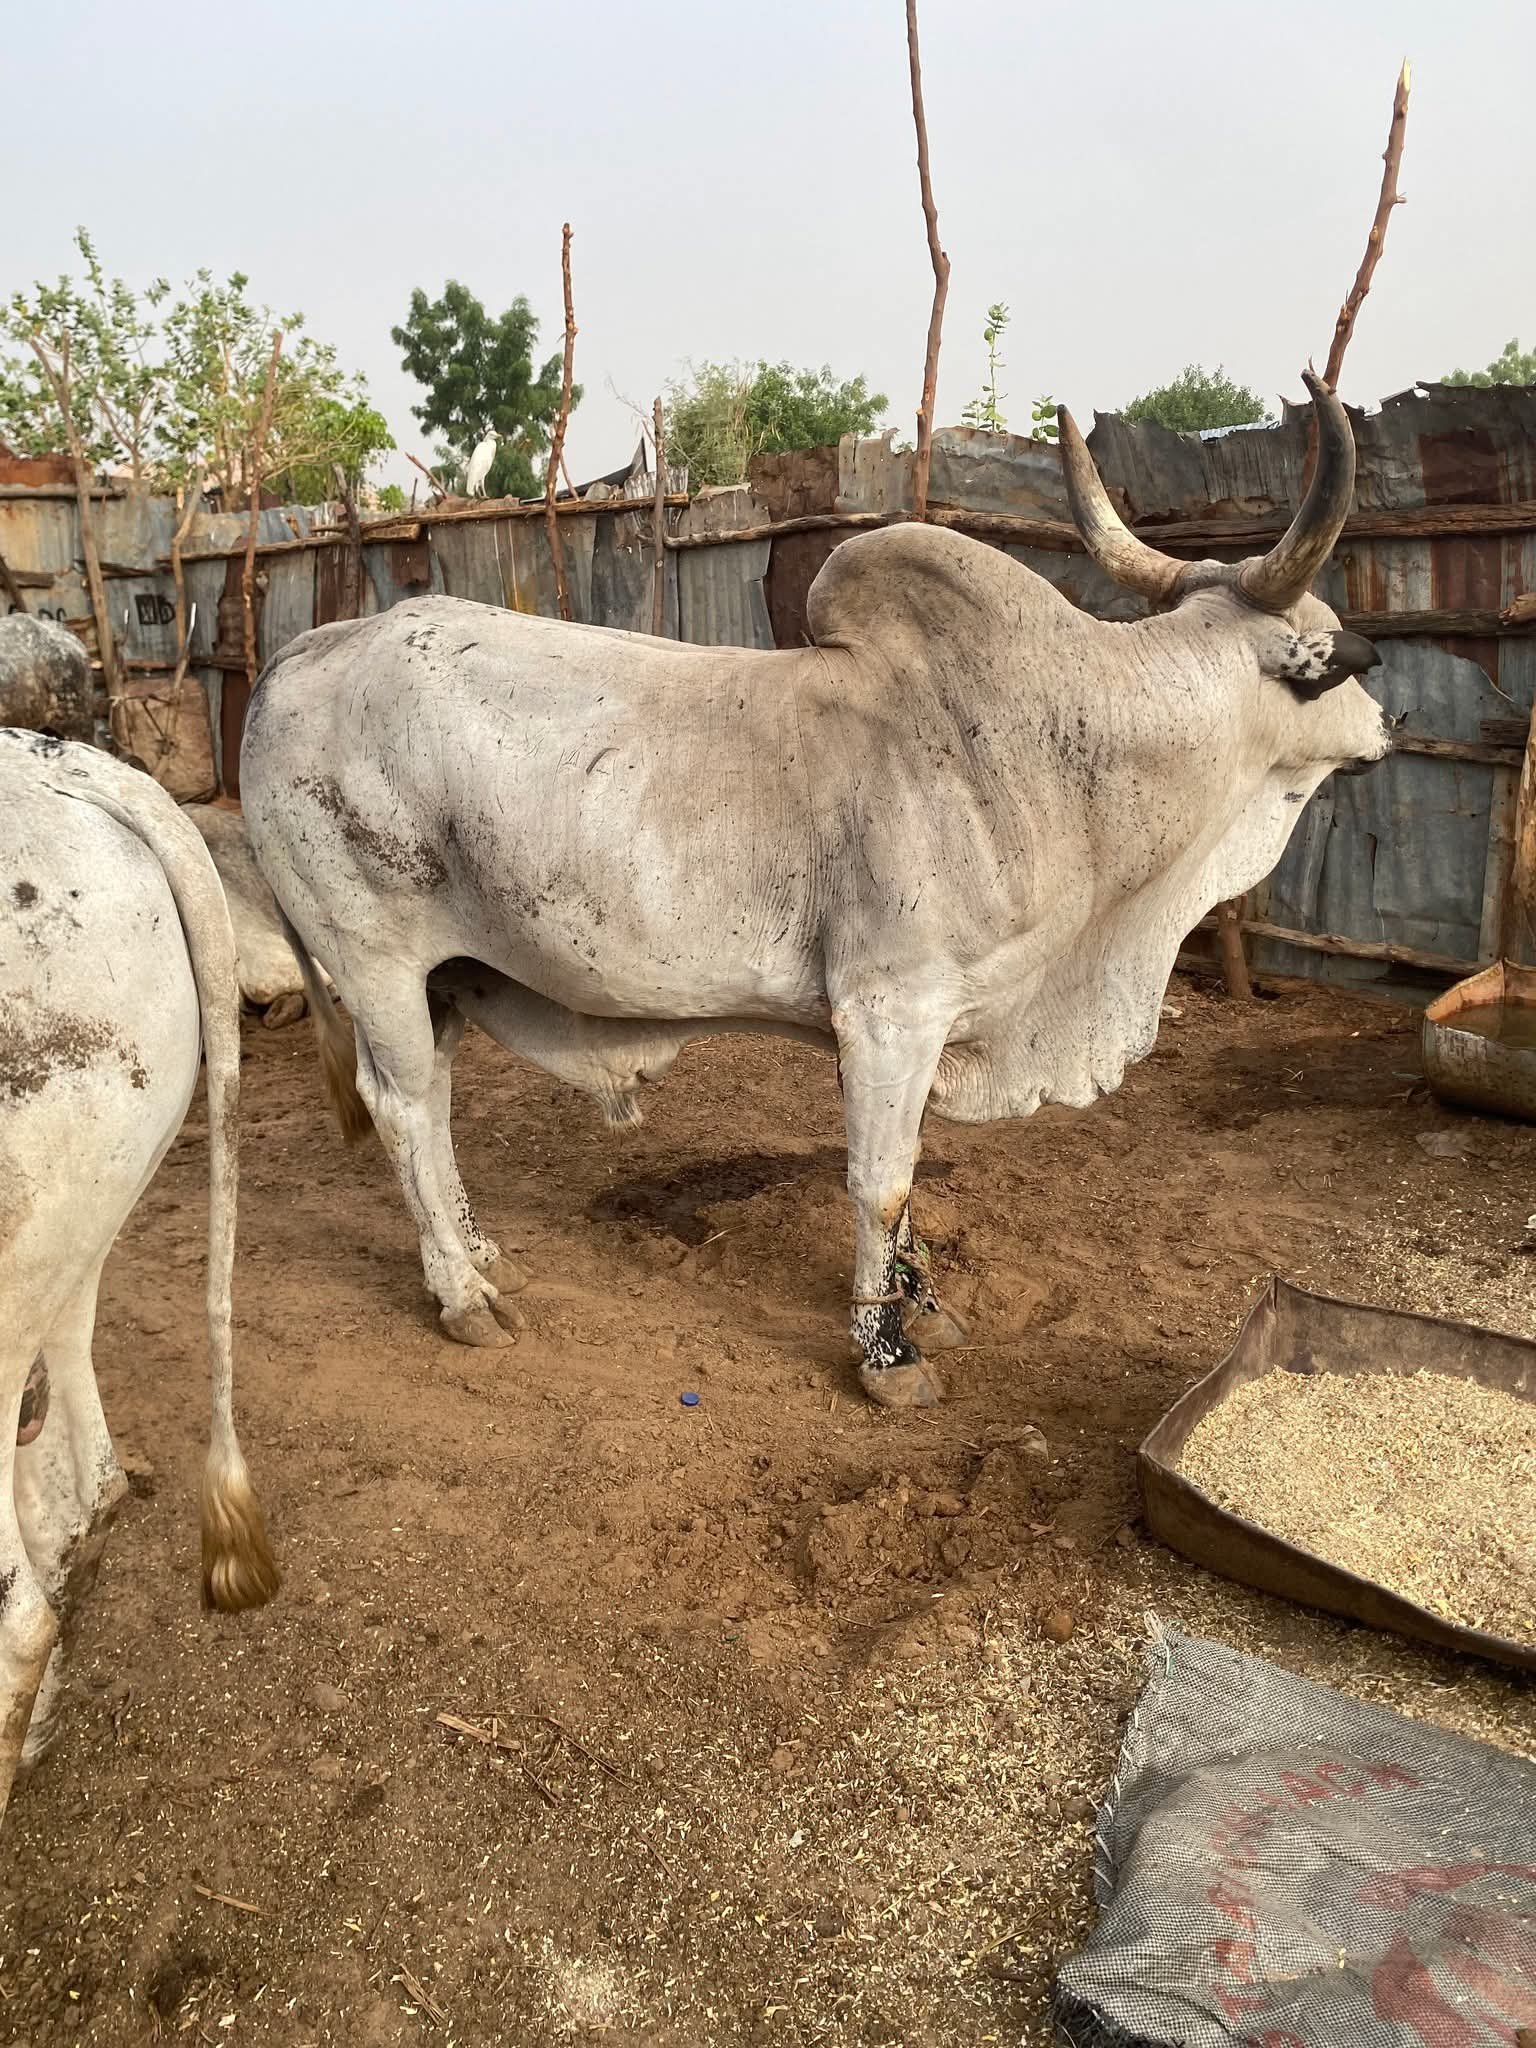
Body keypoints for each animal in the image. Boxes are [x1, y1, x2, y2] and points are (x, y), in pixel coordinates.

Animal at [239, 372, 1389, 1409]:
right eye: (1339, 663)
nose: (1388, 726)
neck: (1054, 749)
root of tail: (300, 655)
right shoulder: (889, 1010)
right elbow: (881, 1181)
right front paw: (887, 1353)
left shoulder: (922, 1025)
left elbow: (909, 1177)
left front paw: (927, 1305)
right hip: (375, 963)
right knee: (401, 1106)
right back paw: (461, 1294)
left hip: (442, 976)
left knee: (434, 1099)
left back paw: (485, 1257)